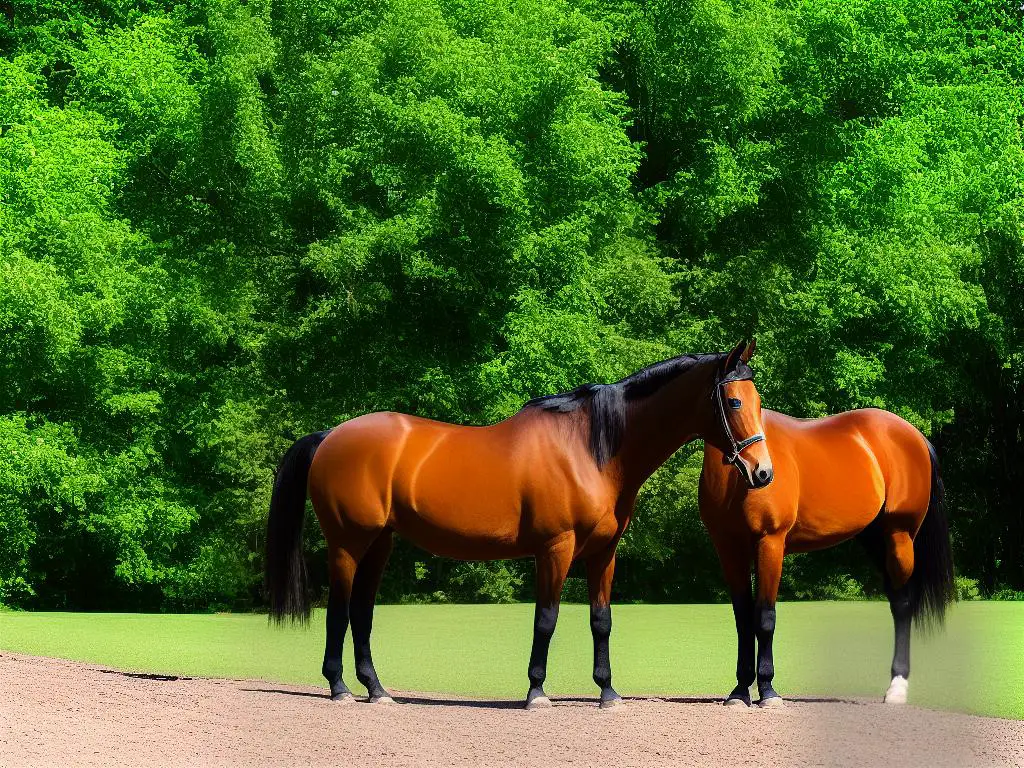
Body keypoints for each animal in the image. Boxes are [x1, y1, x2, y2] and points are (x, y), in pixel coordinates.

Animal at [262, 342, 770, 708]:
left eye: (758, 401)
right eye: (733, 400)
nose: (762, 473)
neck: (592, 449)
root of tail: (331, 435)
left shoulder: (604, 553)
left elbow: (601, 620)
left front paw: (607, 692)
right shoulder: (555, 548)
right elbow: (546, 618)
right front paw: (536, 692)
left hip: (380, 544)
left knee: (362, 612)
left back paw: (377, 690)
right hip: (348, 543)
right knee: (339, 609)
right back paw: (339, 689)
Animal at [700, 346, 954, 712]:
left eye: (756, 401)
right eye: (734, 401)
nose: (762, 471)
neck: (735, 479)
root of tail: (915, 435)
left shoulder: (770, 542)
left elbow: (764, 616)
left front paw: (768, 691)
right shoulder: (728, 547)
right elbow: (742, 618)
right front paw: (739, 691)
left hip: (900, 535)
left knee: (904, 604)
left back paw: (897, 688)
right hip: (874, 538)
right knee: (895, 599)